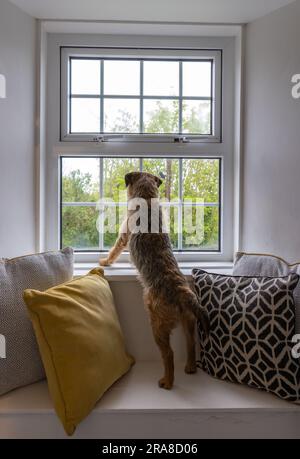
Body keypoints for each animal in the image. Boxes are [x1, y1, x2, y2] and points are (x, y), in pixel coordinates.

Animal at [100, 174, 209, 390]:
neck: (147, 199)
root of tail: (182, 294)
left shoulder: (124, 234)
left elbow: (115, 249)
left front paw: (106, 261)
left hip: (157, 325)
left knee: (169, 354)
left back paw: (167, 381)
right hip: (188, 321)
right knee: (190, 343)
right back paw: (190, 367)